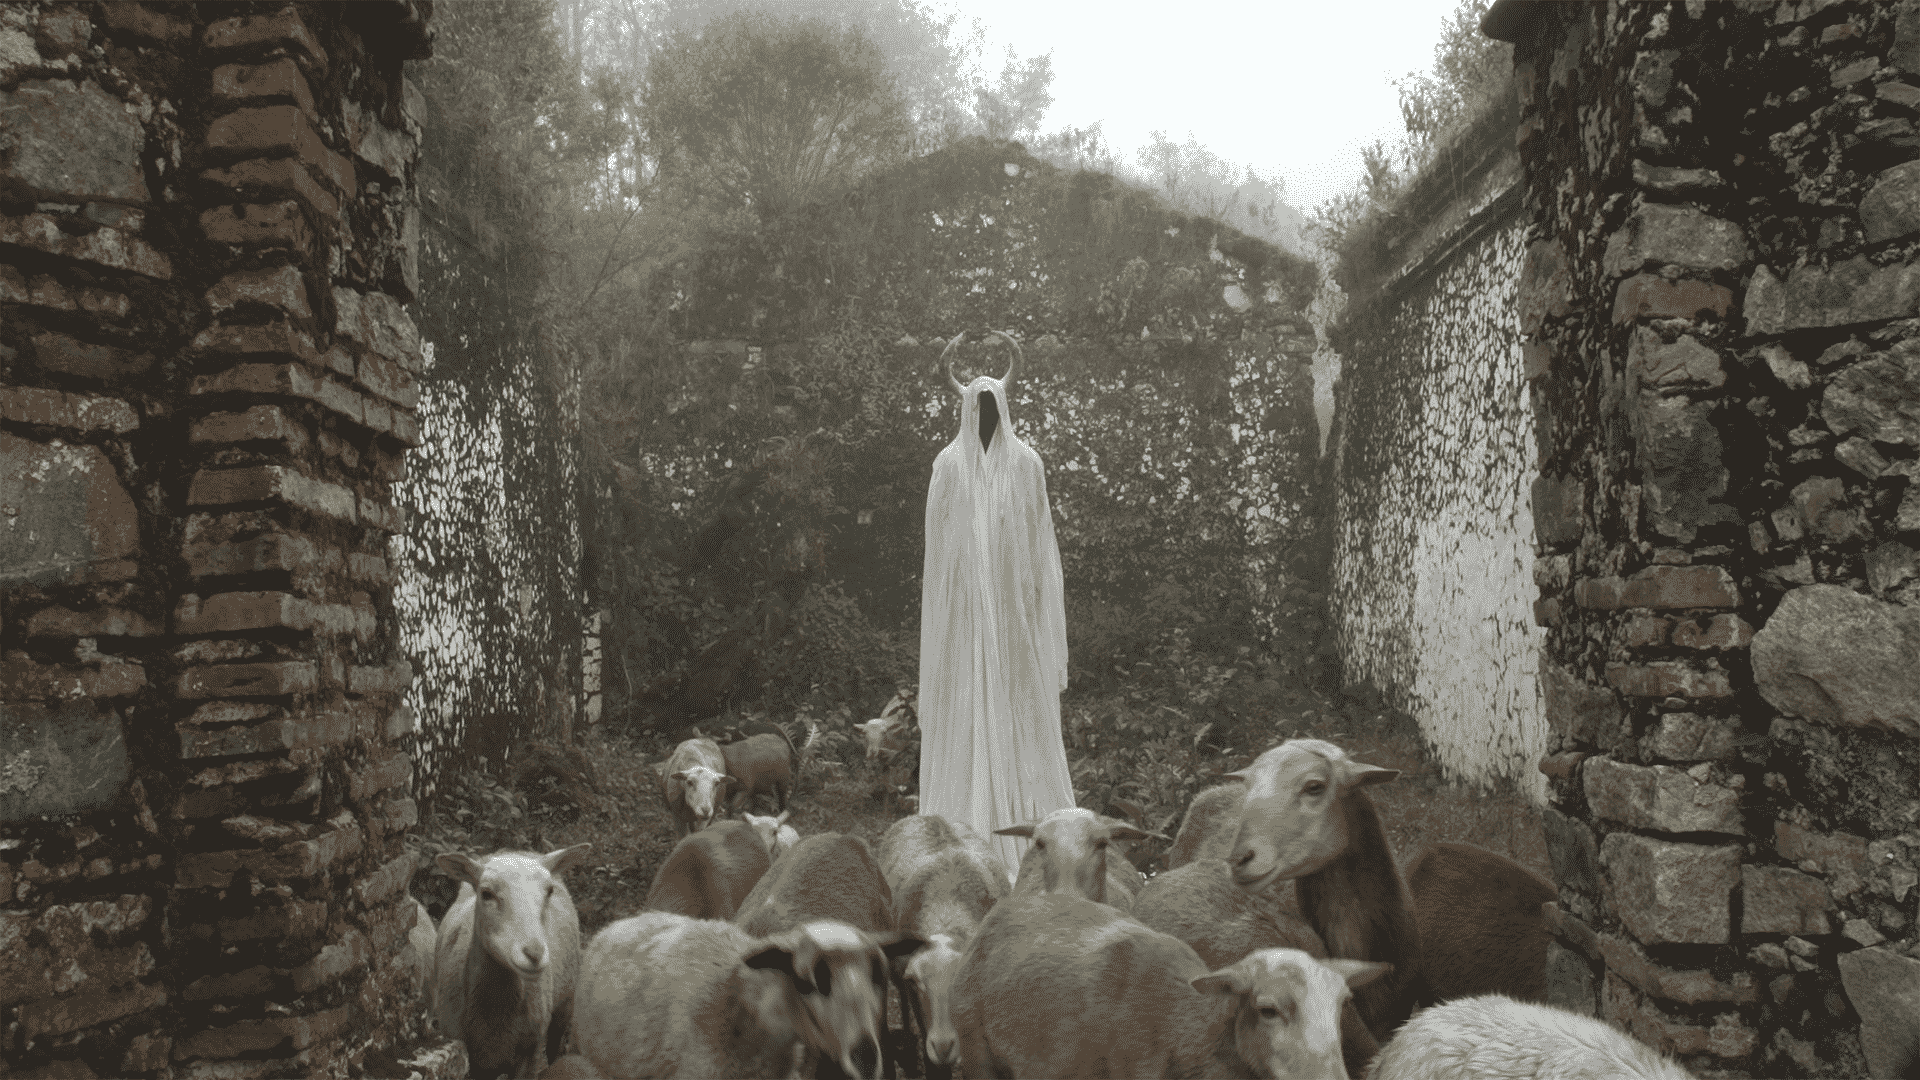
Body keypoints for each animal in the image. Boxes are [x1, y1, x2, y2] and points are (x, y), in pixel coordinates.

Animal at [434, 844, 592, 1080]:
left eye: (549, 891)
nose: (534, 953)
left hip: (565, 1005)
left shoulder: (529, 1054)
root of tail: (516, 850)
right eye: (486, 893)